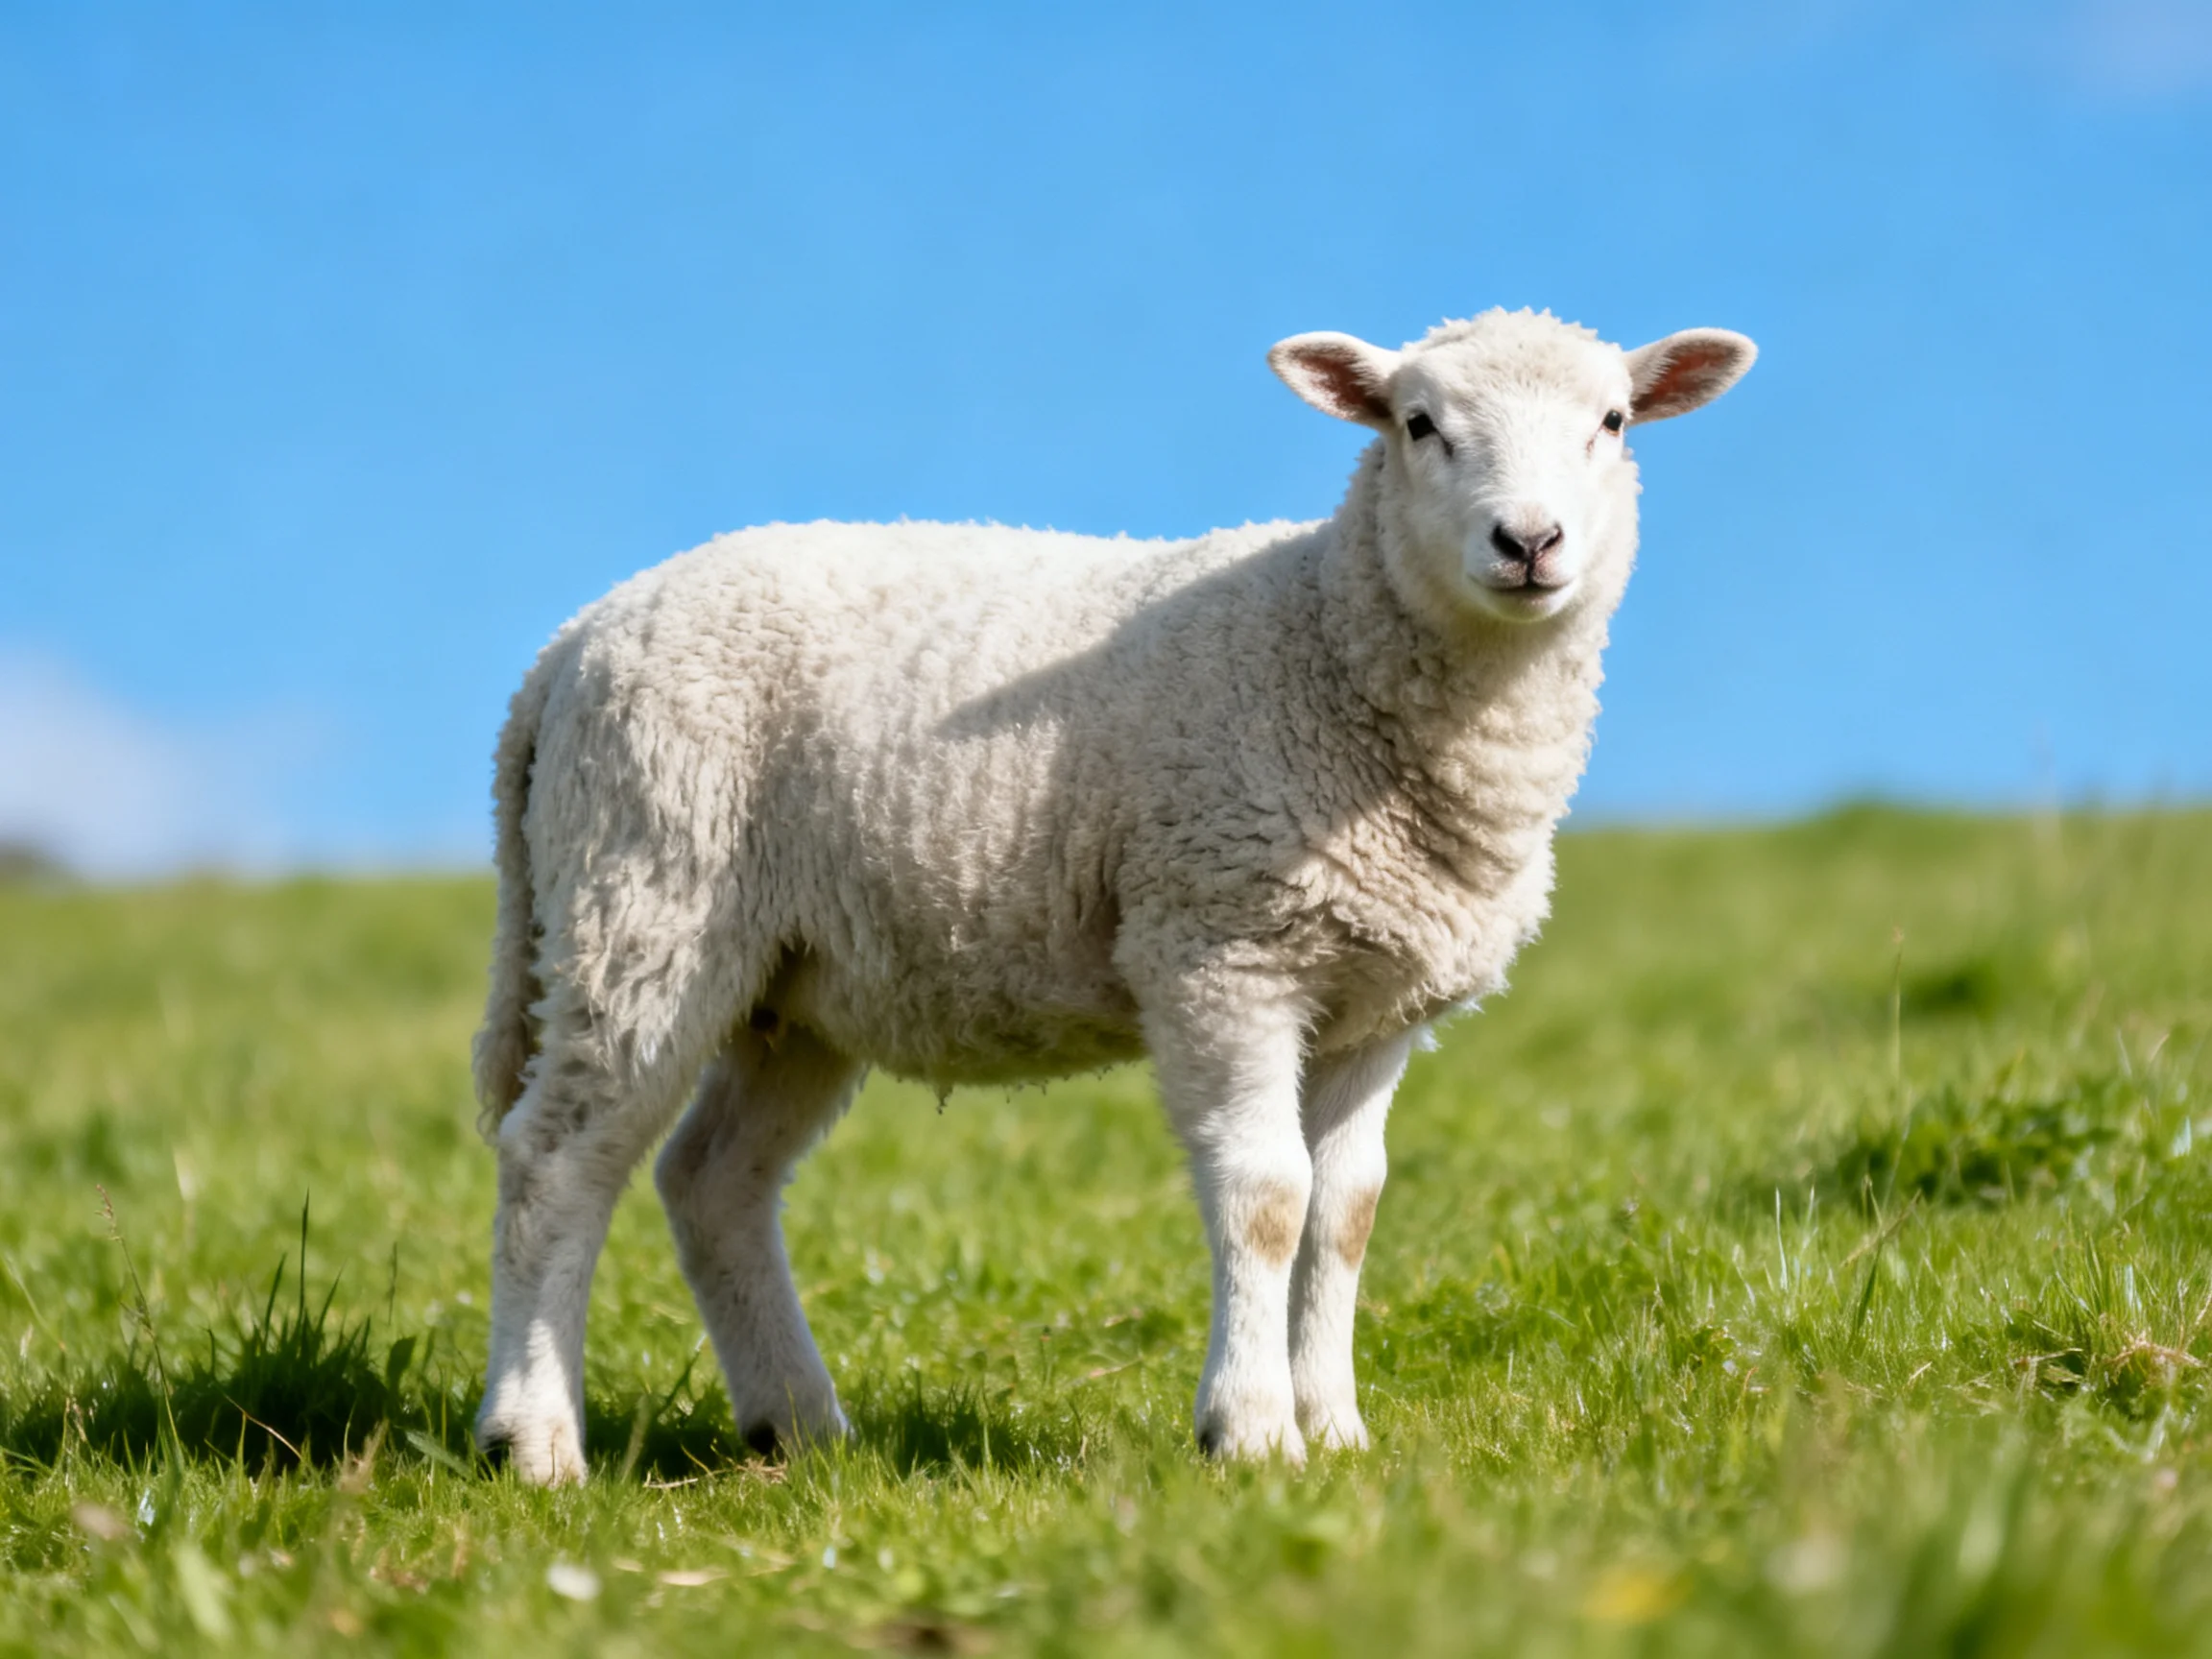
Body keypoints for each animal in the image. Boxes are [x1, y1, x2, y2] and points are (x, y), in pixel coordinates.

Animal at [470, 307, 1756, 1483]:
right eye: (1418, 424)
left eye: (1613, 422)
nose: (1528, 540)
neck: (1323, 636)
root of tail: (569, 647)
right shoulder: (1221, 947)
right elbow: (1268, 1195)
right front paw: (1250, 1433)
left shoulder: (1375, 997)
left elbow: (1347, 1209)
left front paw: (1336, 1432)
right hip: (646, 900)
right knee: (558, 1158)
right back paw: (533, 1440)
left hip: (797, 980)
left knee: (712, 1182)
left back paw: (800, 1427)